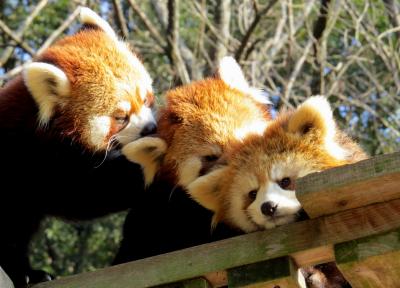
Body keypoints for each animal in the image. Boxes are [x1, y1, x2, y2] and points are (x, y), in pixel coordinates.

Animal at [1, 7, 158, 288]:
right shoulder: (30, 158)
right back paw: (23, 274)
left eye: (145, 98)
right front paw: (144, 166)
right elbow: (84, 193)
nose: (150, 128)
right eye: (121, 117)